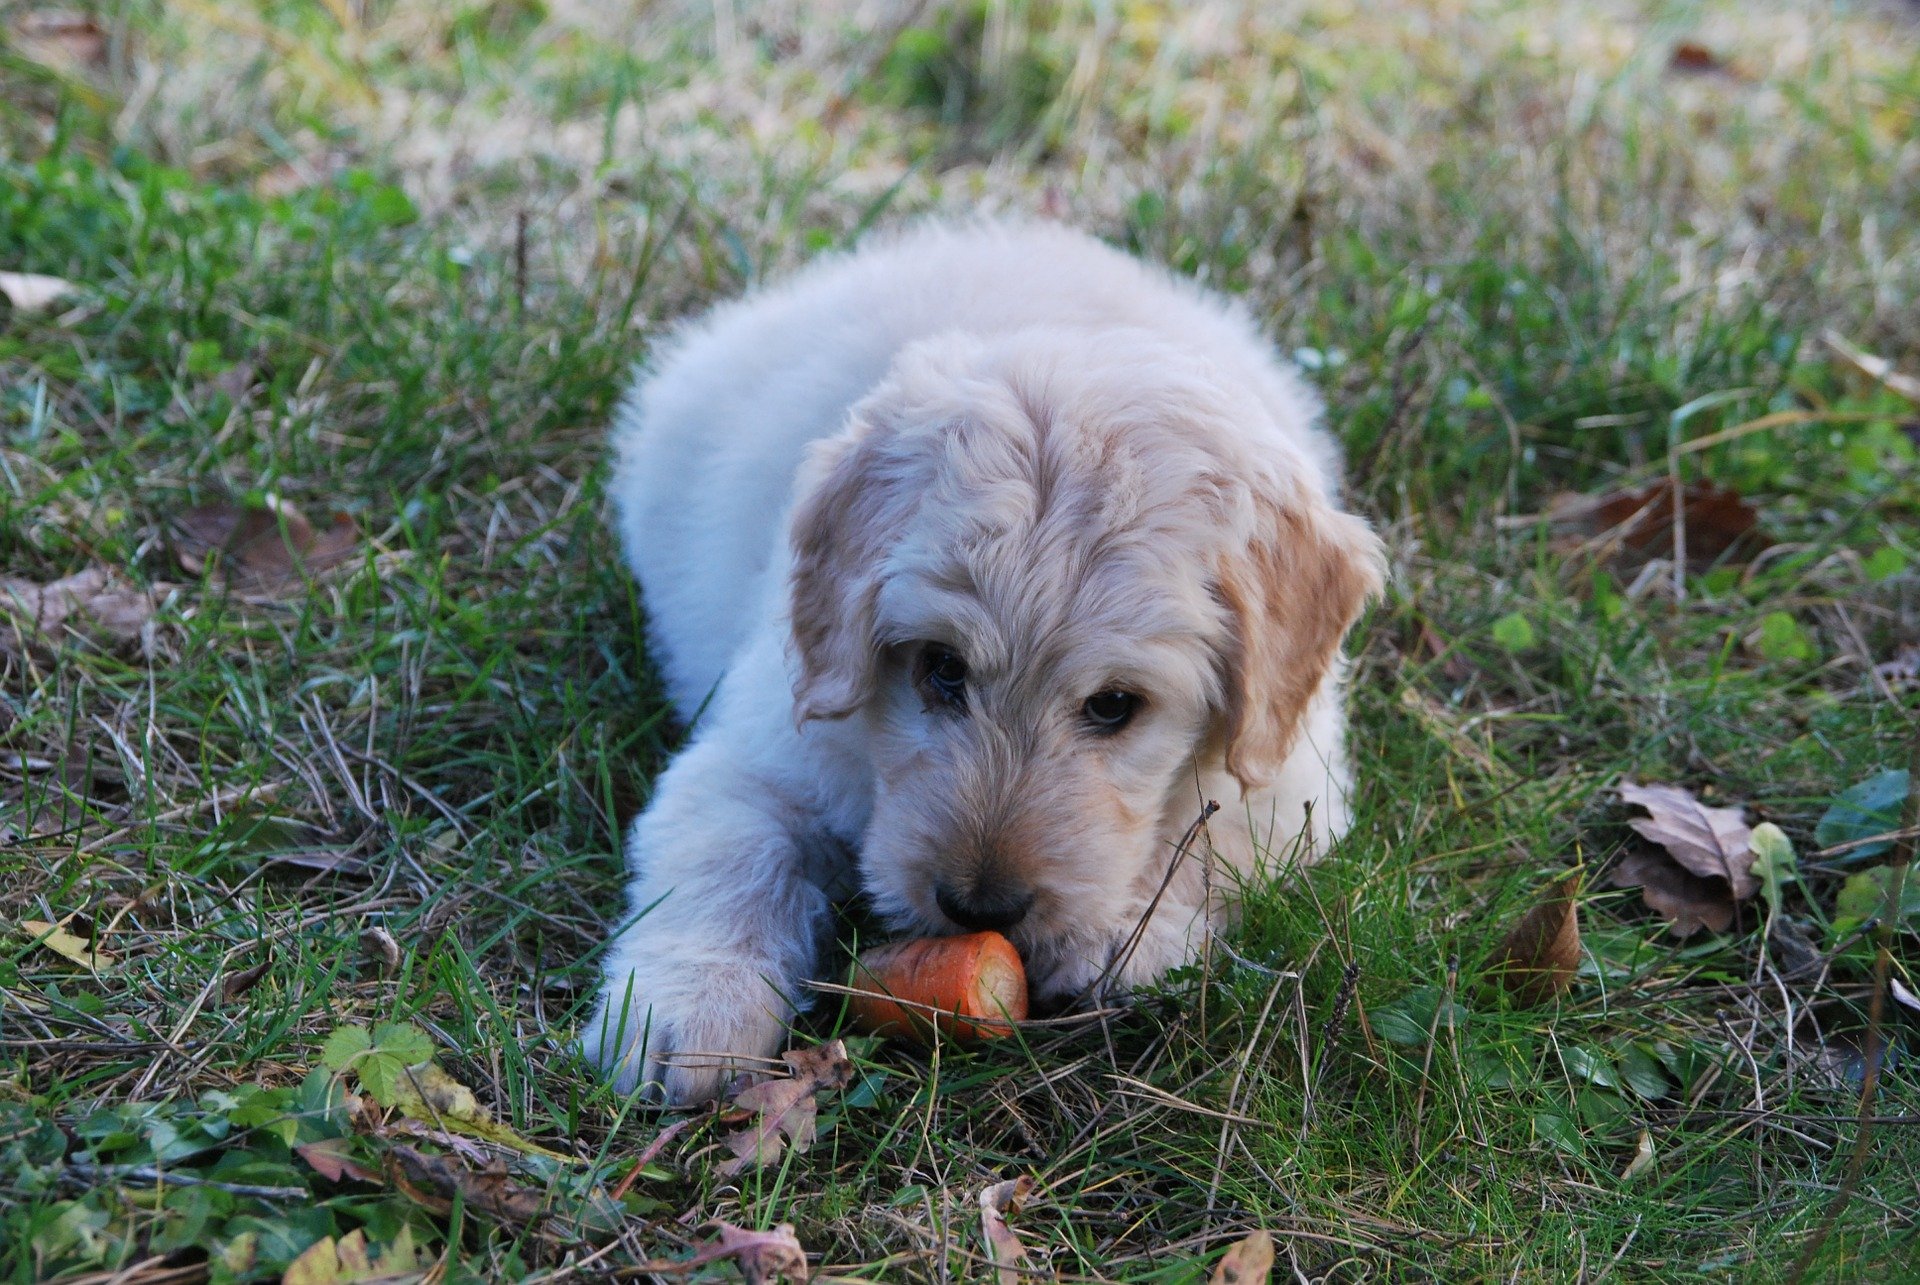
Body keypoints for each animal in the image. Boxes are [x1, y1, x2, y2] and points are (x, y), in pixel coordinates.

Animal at [583, 220, 1382, 1106]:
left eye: (1114, 705)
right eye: (941, 666)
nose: (979, 907)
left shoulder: (1293, 777)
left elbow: (1211, 839)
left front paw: (1123, 933)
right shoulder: (763, 746)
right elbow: (727, 855)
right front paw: (688, 1009)